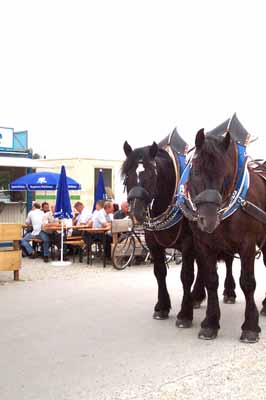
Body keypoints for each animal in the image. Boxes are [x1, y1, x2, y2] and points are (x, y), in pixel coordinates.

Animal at [177, 129, 266, 344]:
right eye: (195, 170)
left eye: (225, 174)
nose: (208, 220)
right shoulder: (204, 244)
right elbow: (211, 280)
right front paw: (210, 322)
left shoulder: (248, 244)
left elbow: (248, 283)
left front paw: (250, 326)